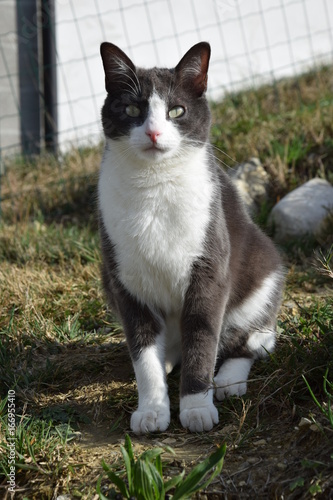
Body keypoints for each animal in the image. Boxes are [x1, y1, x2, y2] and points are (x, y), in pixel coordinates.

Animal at [98, 42, 282, 434]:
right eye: (132, 109)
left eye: (176, 110)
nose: (153, 133)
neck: (154, 183)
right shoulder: (125, 279)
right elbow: (142, 349)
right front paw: (152, 409)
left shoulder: (209, 268)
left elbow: (202, 338)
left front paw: (196, 406)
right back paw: (169, 358)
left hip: (264, 270)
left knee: (250, 340)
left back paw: (228, 379)